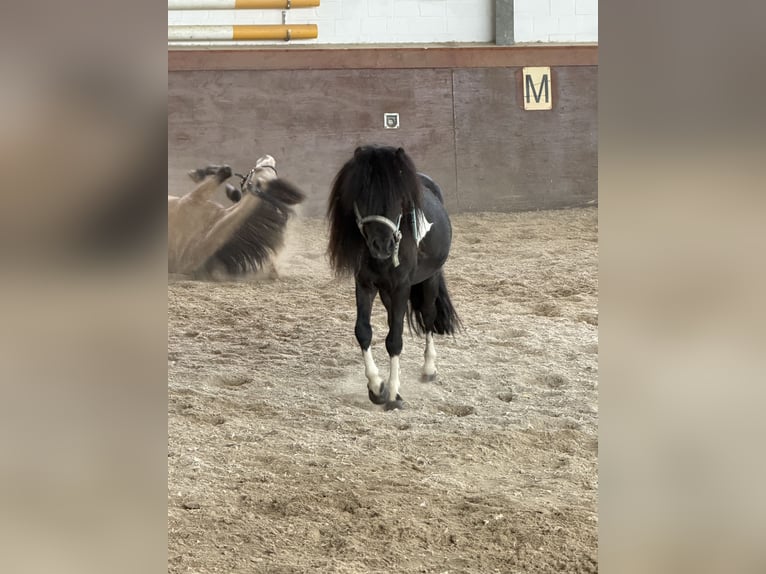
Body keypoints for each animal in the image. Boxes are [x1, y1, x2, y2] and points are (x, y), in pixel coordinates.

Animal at [168, 154, 304, 279]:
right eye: (259, 171)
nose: (268, 157)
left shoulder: (195, 197)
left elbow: (226, 171)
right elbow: (227, 172)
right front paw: (198, 174)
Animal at [327, 145, 461, 410]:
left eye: (399, 199)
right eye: (361, 196)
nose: (382, 245)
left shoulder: (401, 287)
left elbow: (395, 339)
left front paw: (393, 394)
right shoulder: (365, 284)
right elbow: (364, 331)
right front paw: (377, 386)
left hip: (429, 280)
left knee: (428, 317)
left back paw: (429, 369)